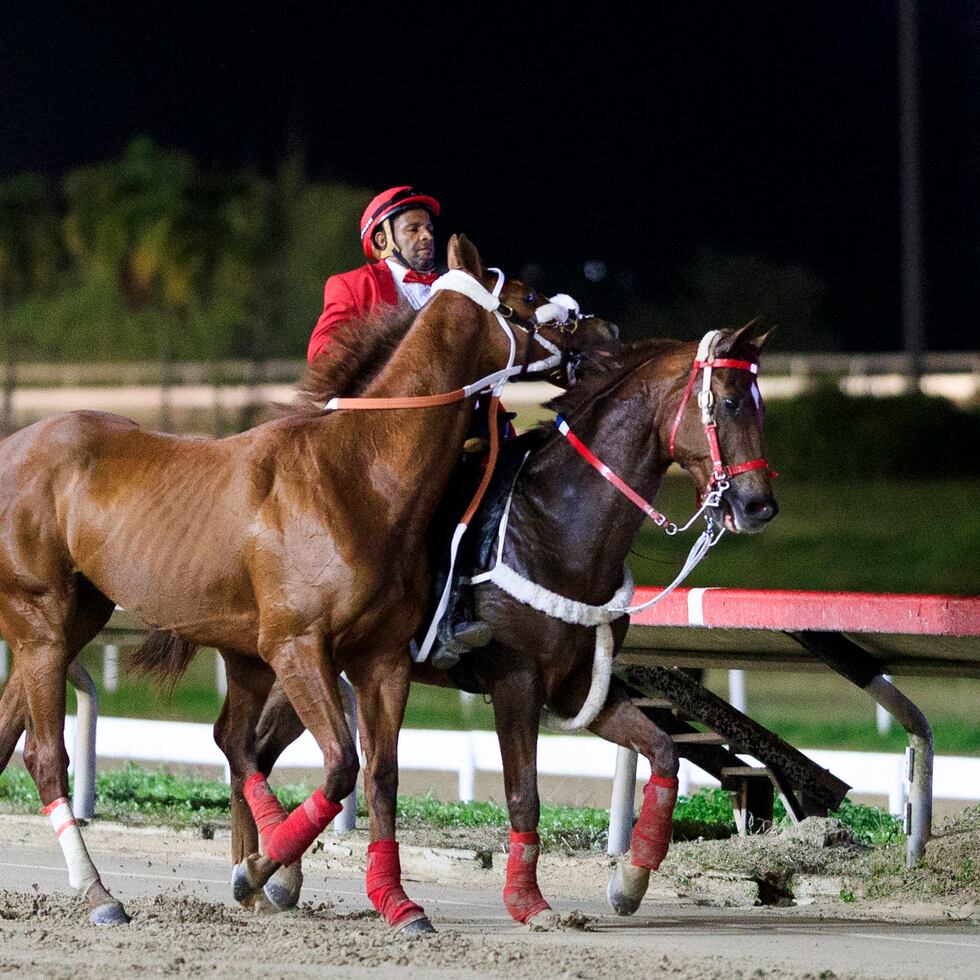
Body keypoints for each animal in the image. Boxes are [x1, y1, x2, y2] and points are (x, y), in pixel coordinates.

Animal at [0, 234, 612, 932]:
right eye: (526, 296)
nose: (600, 333)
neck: (362, 472)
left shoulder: (381, 658)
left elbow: (380, 776)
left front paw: (396, 901)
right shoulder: (295, 647)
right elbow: (340, 765)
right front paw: (259, 870)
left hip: (76, 619)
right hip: (40, 620)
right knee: (47, 757)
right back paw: (99, 893)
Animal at [235, 322, 772, 928]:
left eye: (760, 405)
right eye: (729, 401)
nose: (759, 505)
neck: (555, 525)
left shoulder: (577, 684)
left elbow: (664, 751)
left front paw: (630, 880)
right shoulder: (517, 681)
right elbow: (524, 794)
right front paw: (528, 900)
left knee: (253, 751)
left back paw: (269, 872)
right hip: (303, 663)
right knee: (249, 750)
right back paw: (264, 871)